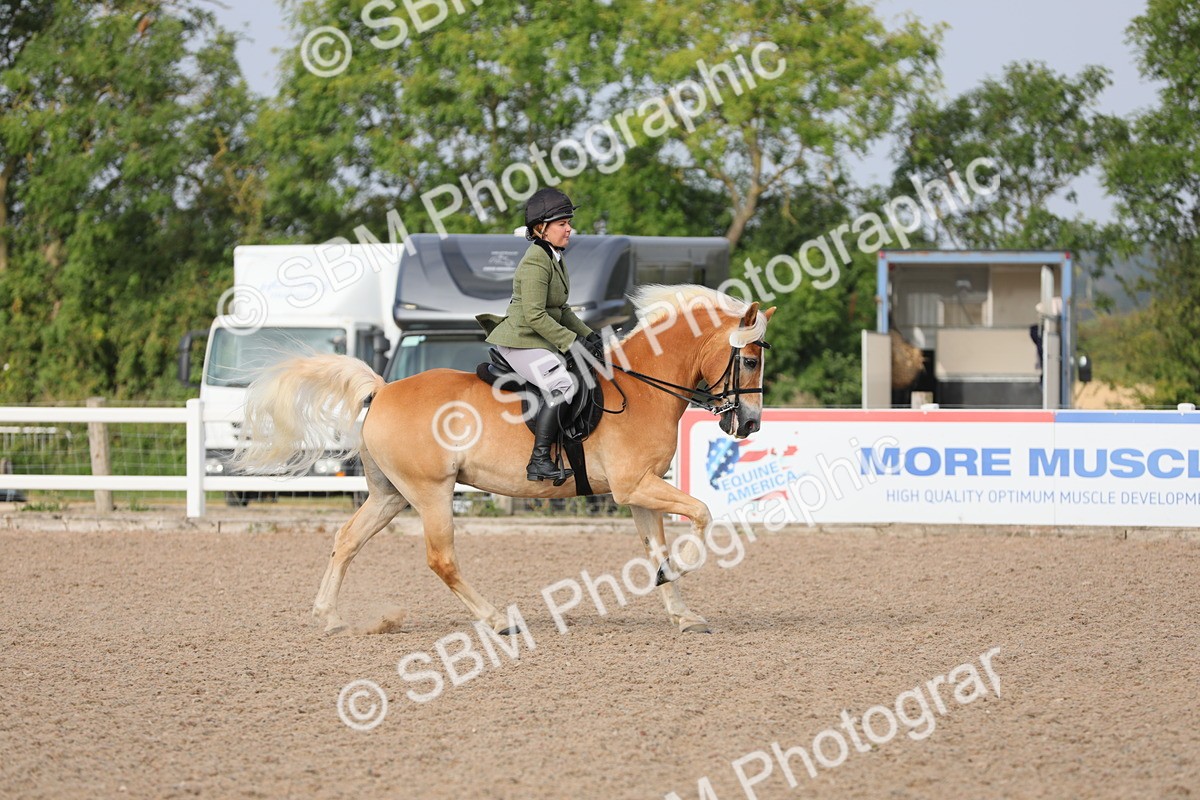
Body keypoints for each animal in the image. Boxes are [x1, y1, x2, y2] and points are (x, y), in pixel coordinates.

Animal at [232, 284, 775, 635]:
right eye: (749, 360)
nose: (750, 424)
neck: (642, 386)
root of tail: (382, 389)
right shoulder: (632, 485)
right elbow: (702, 514)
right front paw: (684, 569)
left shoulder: (641, 489)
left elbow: (657, 550)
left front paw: (682, 611)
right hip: (432, 491)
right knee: (441, 559)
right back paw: (497, 620)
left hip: (391, 495)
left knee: (346, 541)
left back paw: (328, 617)